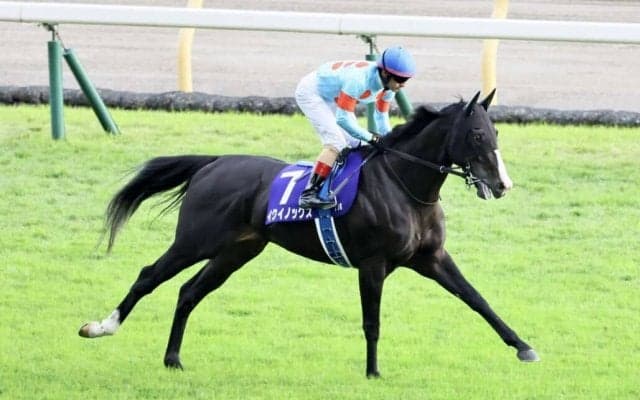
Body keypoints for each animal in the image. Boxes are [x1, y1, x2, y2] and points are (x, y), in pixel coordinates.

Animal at [79, 90, 539, 378]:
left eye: (497, 133)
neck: (405, 185)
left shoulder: (431, 258)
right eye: (477, 134)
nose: (502, 184)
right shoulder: (372, 264)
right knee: (148, 276)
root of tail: (214, 162)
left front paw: (522, 346)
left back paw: (173, 359)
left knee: (189, 292)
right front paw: (373, 371)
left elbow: (477, 300)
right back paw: (101, 327)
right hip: (195, 241)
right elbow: (372, 321)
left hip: (236, 251)